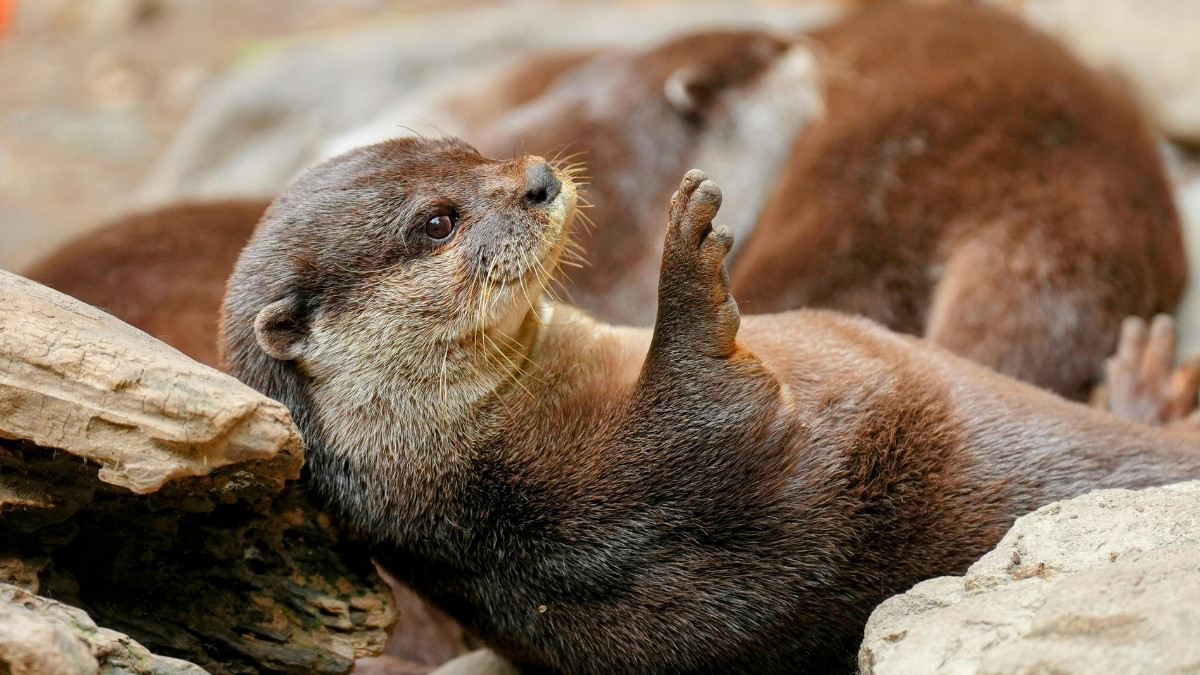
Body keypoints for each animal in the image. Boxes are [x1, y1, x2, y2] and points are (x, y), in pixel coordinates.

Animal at [221, 136, 1200, 673]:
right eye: (436, 221)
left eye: (467, 152)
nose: (537, 177)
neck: (470, 471)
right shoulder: (607, 509)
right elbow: (721, 414)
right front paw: (687, 262)